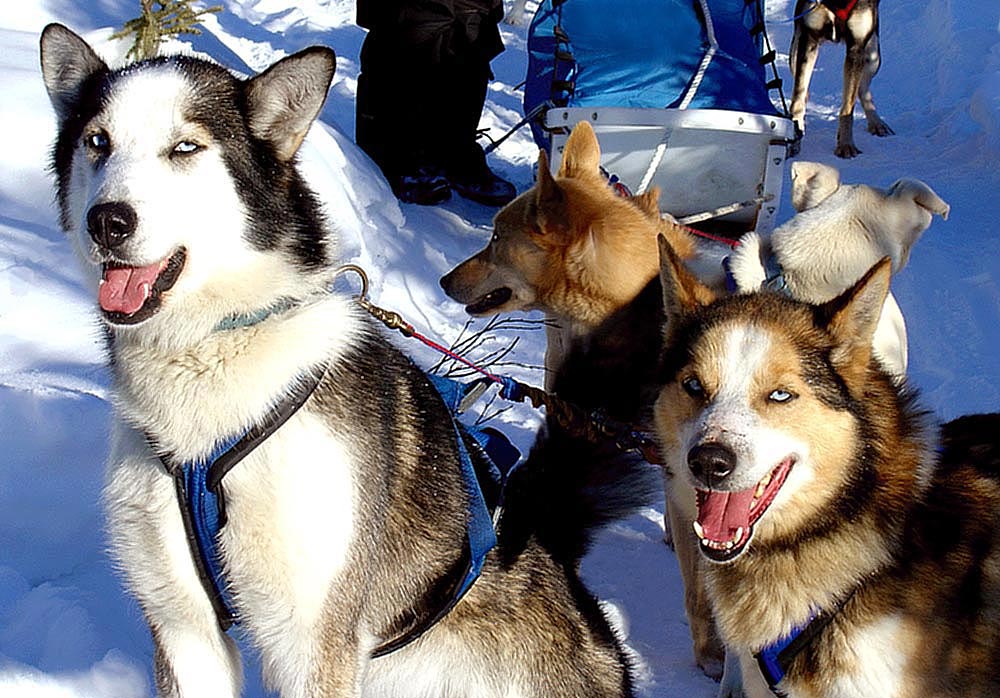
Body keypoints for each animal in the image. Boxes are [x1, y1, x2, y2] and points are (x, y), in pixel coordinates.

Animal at [792, 0, 896, 158]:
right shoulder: (809, 39)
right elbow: (798, 96)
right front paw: (794, 135)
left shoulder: (857, 47)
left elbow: (848, 107)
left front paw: (846, 144)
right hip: (794, 51)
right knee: (803, 91)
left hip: (873, 56)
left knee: (862, 89)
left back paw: (876, 123)